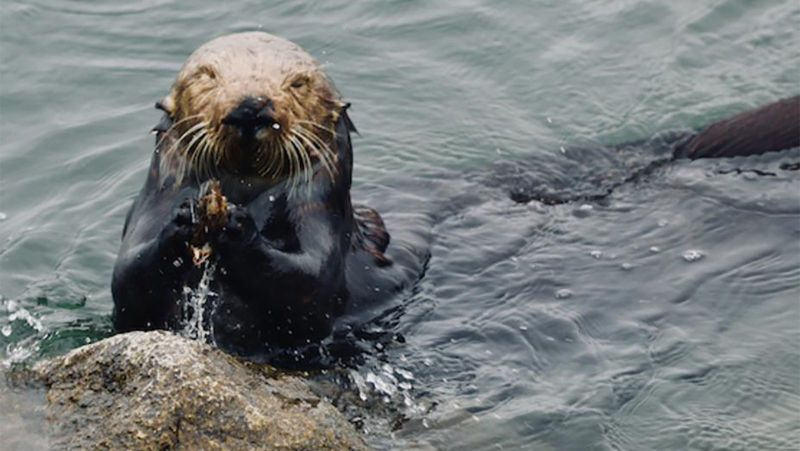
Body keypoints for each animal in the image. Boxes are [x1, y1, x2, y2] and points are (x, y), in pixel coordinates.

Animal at [112, 31, 424, 358]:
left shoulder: (319, 213)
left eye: (299, 83)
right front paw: (184, 218)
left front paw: (238, 226)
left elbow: (311, 282)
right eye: (206, 75)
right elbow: (128, 278)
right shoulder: (153, 203)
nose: (250, 107)